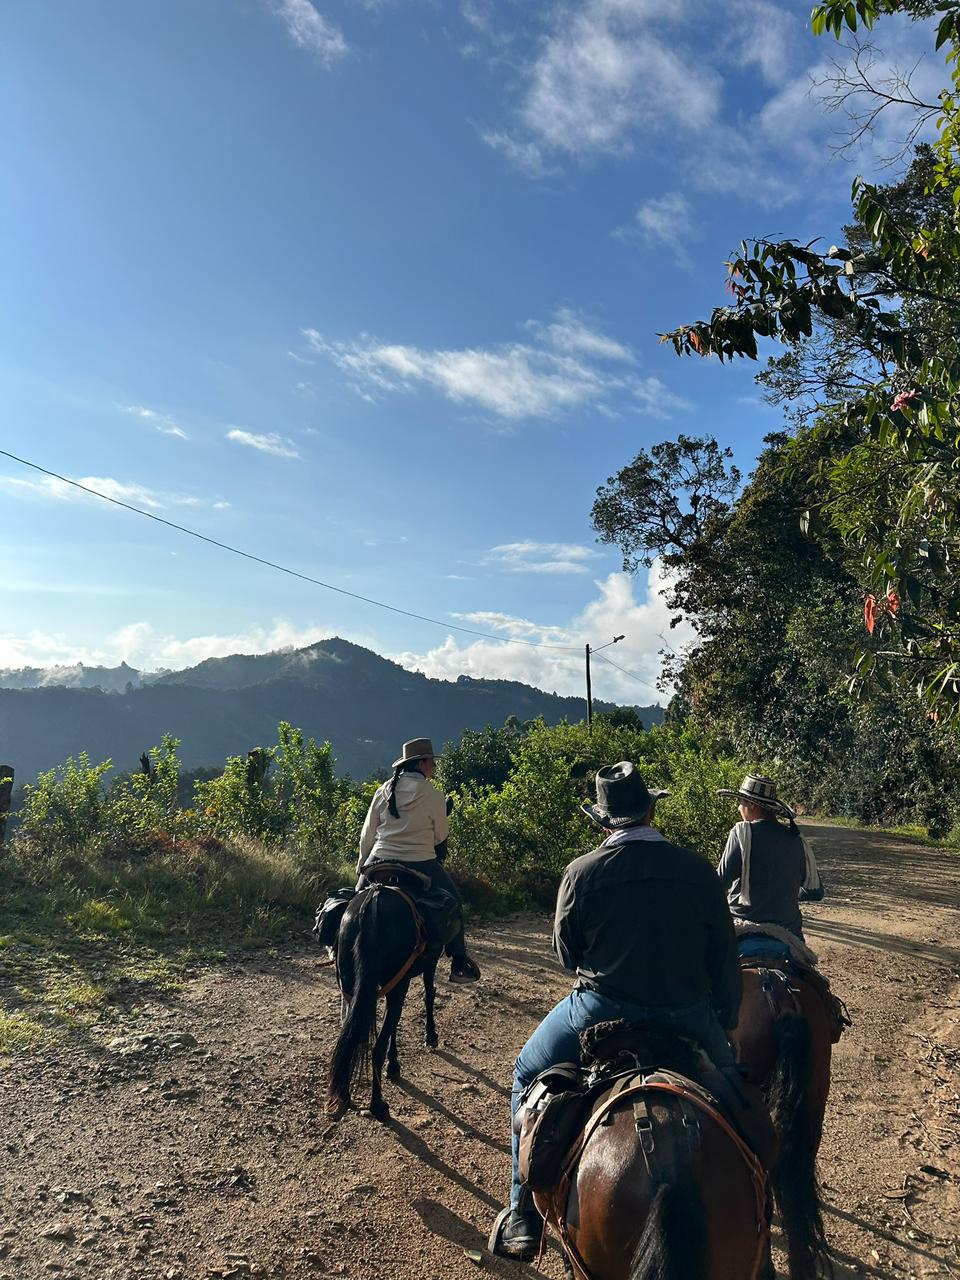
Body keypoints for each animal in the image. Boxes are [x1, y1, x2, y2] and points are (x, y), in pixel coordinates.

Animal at [326, 876, 441, 1121]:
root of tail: (371, 904)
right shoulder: (426, 966)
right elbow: (428, 996)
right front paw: (430, 1036)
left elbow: (393, 1026)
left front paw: (394, 1064)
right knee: (376, 1048)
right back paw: (378, 1105)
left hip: (351, 986)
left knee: (351, 1037)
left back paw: (345, 1095)